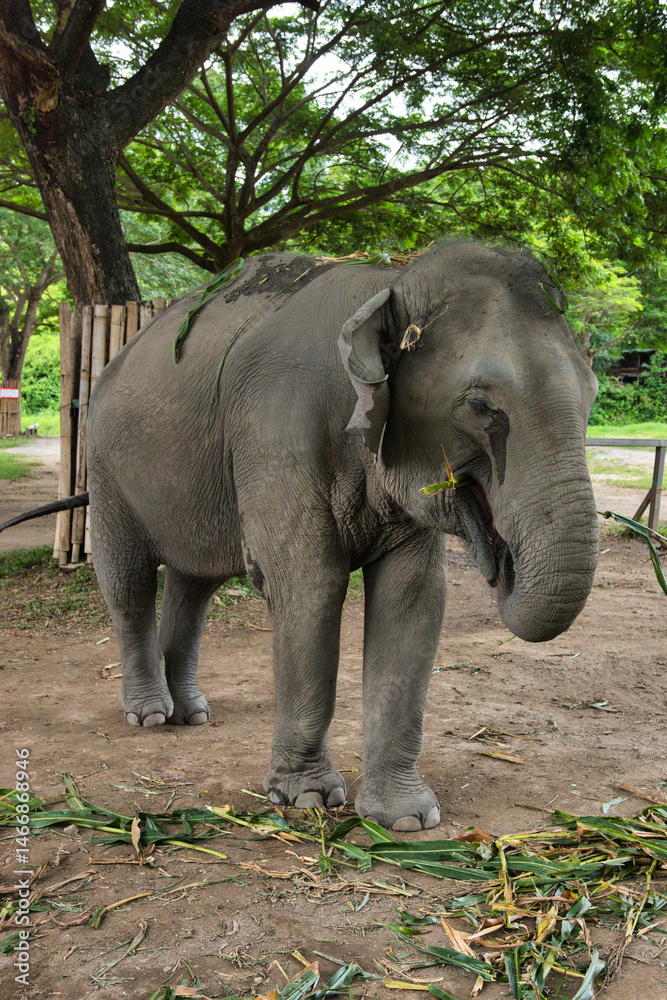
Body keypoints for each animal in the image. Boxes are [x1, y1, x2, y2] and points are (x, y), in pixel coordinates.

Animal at [85, 241, 599, 831]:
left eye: (593, 394)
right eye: (479, 406)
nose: (505, 561)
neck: (388, 283)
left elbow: (414, 599)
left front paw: (407, 820)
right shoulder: (277, 429)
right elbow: (311, 586)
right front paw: (306, 799)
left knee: (194, 583)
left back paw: (190, 714)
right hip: (104, 467)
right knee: (128, 582)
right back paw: (150, 715)